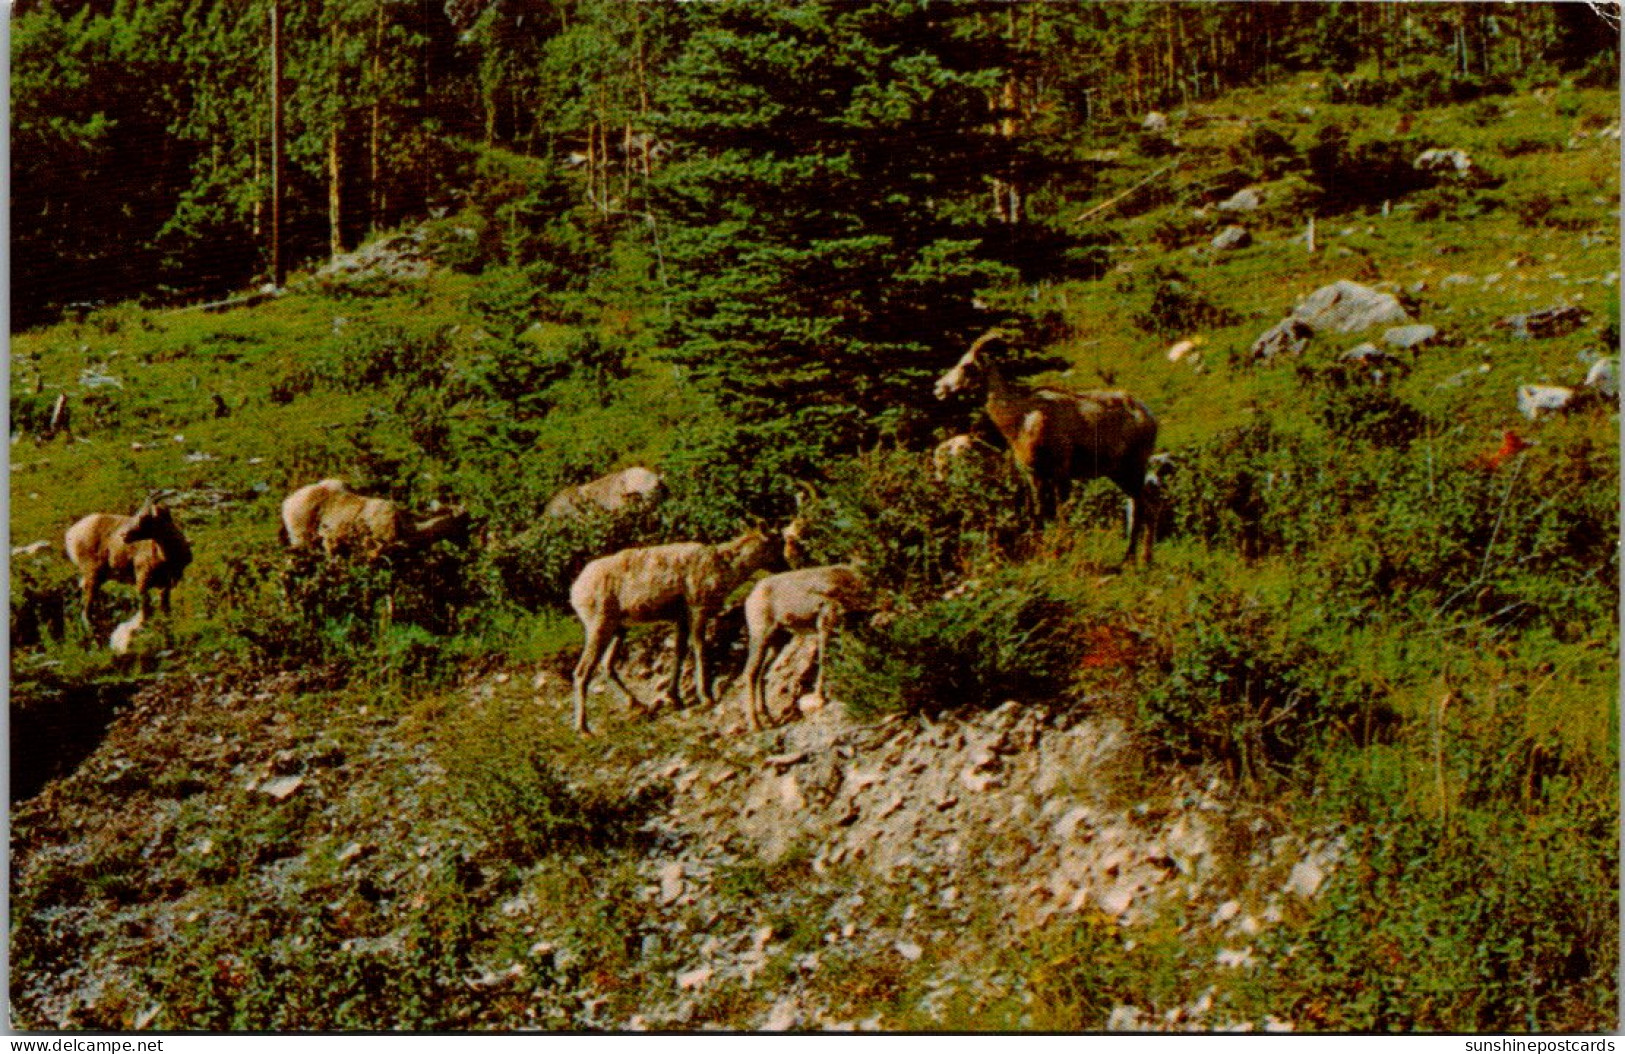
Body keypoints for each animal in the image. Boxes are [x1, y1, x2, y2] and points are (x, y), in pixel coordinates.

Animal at [741, 561, 871, 727]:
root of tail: (751, 597)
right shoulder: (825, 623)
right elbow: (824, 659)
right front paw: (819, 697)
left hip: (777, 641)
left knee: (761, 673)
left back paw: (768, 718)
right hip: (760, 636)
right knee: (750, 672)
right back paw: (756, 725)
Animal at [936, 328, 1163, 561]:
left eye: (966, 365)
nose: (939, 388)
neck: (1023, 420)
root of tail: (1149, 417)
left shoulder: (1060, 473)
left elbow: (1061, 513)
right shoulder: (1034, 475)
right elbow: (1040, 513)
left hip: (1132, 468)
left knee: (1142, 506)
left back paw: (1131, 559)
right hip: (1119, 473)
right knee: (1147, 505)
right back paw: (1144, 559)